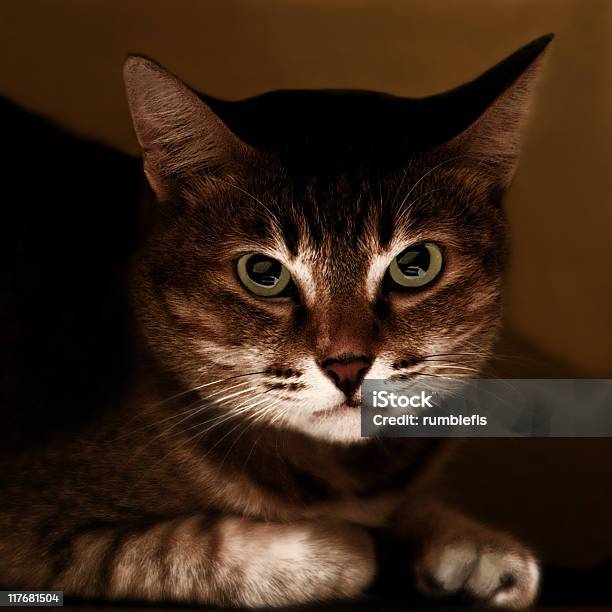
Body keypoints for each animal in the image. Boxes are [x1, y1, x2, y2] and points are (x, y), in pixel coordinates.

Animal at [0, 35, 552, 608]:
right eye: (262, 272)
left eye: (416, 263)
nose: (348, 366)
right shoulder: (33, 526)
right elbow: (187, 551)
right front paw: (347, 546)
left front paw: (471, 547)